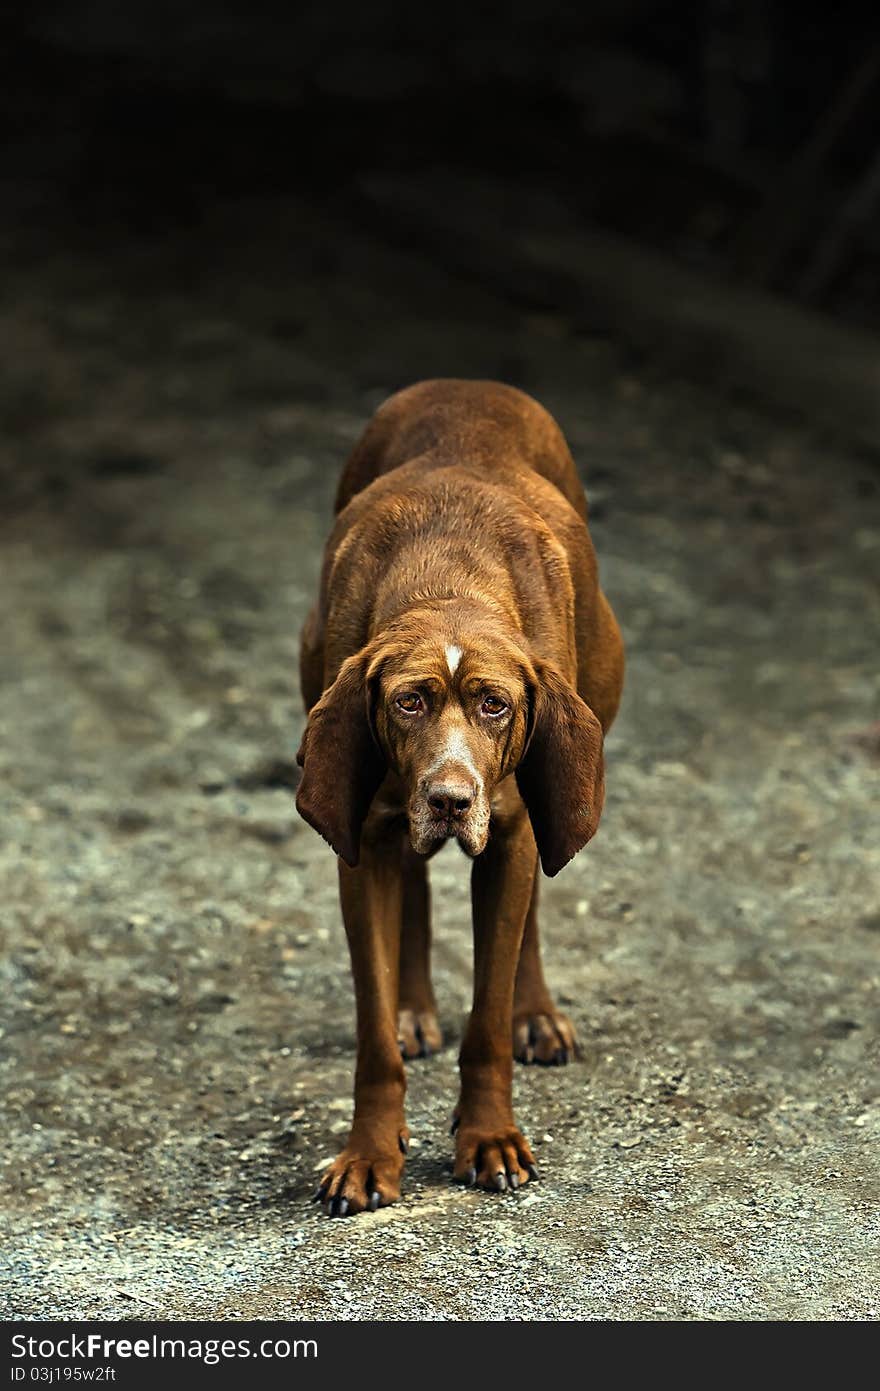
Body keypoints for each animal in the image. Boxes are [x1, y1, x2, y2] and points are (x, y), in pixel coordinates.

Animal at [298, 383, 620, 1218]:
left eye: (494, 705)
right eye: (408, 701)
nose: (448, 797)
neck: (448, 586)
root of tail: (466, 384)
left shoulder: (510, 836)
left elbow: (488, 1019)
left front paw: (490, 1138)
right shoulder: (361, 847)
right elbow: (373, 1034)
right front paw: (370, 1153)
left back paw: (535, 1013)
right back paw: (417, 1008)